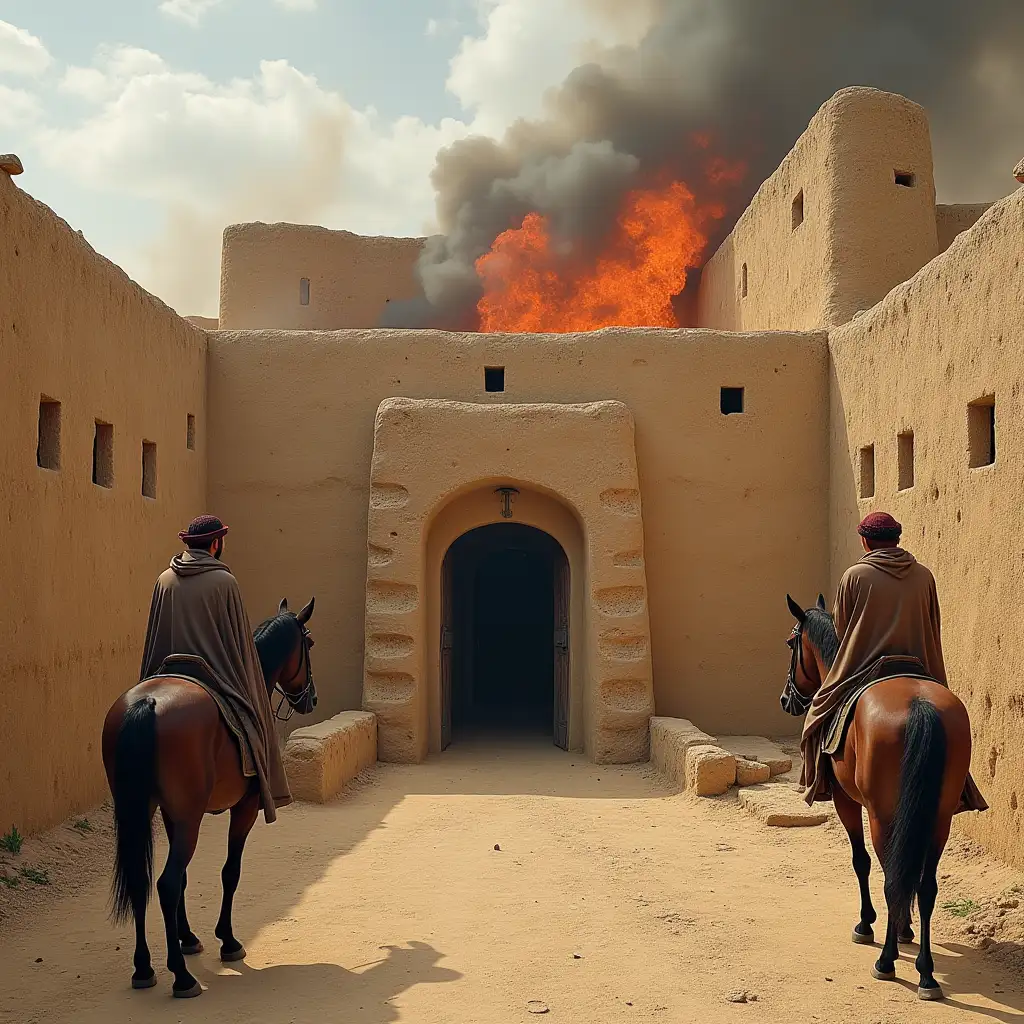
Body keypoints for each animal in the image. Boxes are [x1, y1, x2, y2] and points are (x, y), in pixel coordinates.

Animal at [100, 598, 315, 995]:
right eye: (309, 643)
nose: (311, 698)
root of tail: (147, 703)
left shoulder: (171, 814)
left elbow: (187, 877)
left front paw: (187, 938)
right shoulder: (245, 807)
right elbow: (230, 871)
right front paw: (227, 941)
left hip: (142, 811)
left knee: (143, 879)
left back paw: (144, 968)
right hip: (190, 818)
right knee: (166, 883)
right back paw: (181, 976)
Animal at [778, 593, 970, 999]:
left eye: (790, 643)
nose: (786, 699)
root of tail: (920, 705)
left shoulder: (845, 801)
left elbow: (861, 861)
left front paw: (868, 924)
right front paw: (906, 927)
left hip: (884, 814)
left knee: (890, 875)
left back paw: (887, 959)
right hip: (940, 818)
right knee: (925, 885)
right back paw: (926, 971)